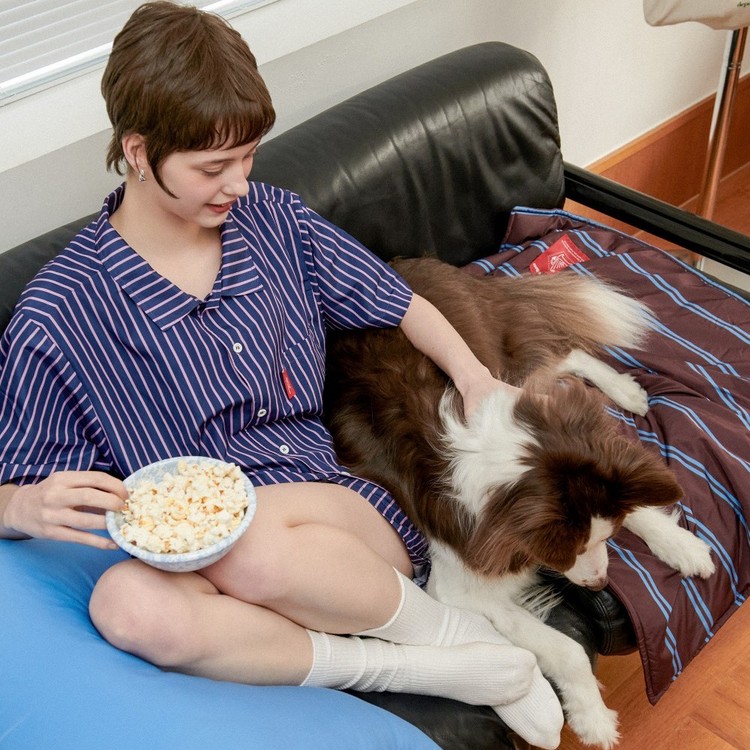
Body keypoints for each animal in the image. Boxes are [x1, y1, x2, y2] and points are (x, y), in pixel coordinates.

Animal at [324, 257, 716, 749]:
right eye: (565, 553)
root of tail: (406, 265)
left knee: (562, 352)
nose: (600, 585)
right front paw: (593, 716)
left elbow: (629, 502)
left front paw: (682, 546)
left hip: (493, 351)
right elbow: (567, 648)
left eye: (602, 538)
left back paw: (626, 391)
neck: (507, 464)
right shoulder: (457, 584)